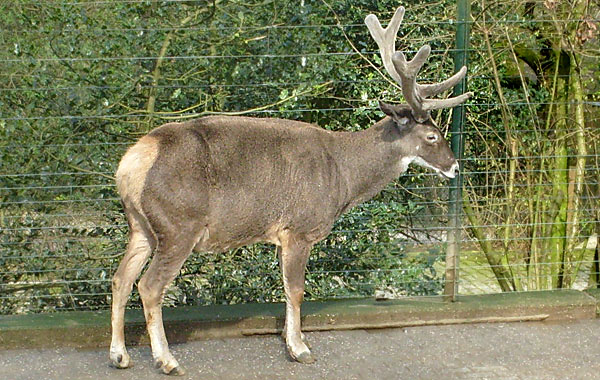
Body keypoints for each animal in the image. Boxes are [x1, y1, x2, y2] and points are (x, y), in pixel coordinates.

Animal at [110, 4, 472, 376]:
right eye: (432, 136)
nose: (455, 167)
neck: (343, 176)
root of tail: (130, 164)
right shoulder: (299, 228)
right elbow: (297, 291)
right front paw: (300, 348)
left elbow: (285, 290)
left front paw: (291, 340)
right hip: (179, 224)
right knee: (149, 286)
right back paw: (167, 360)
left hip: (141, 225)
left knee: (120, 279)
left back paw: (120, 355)